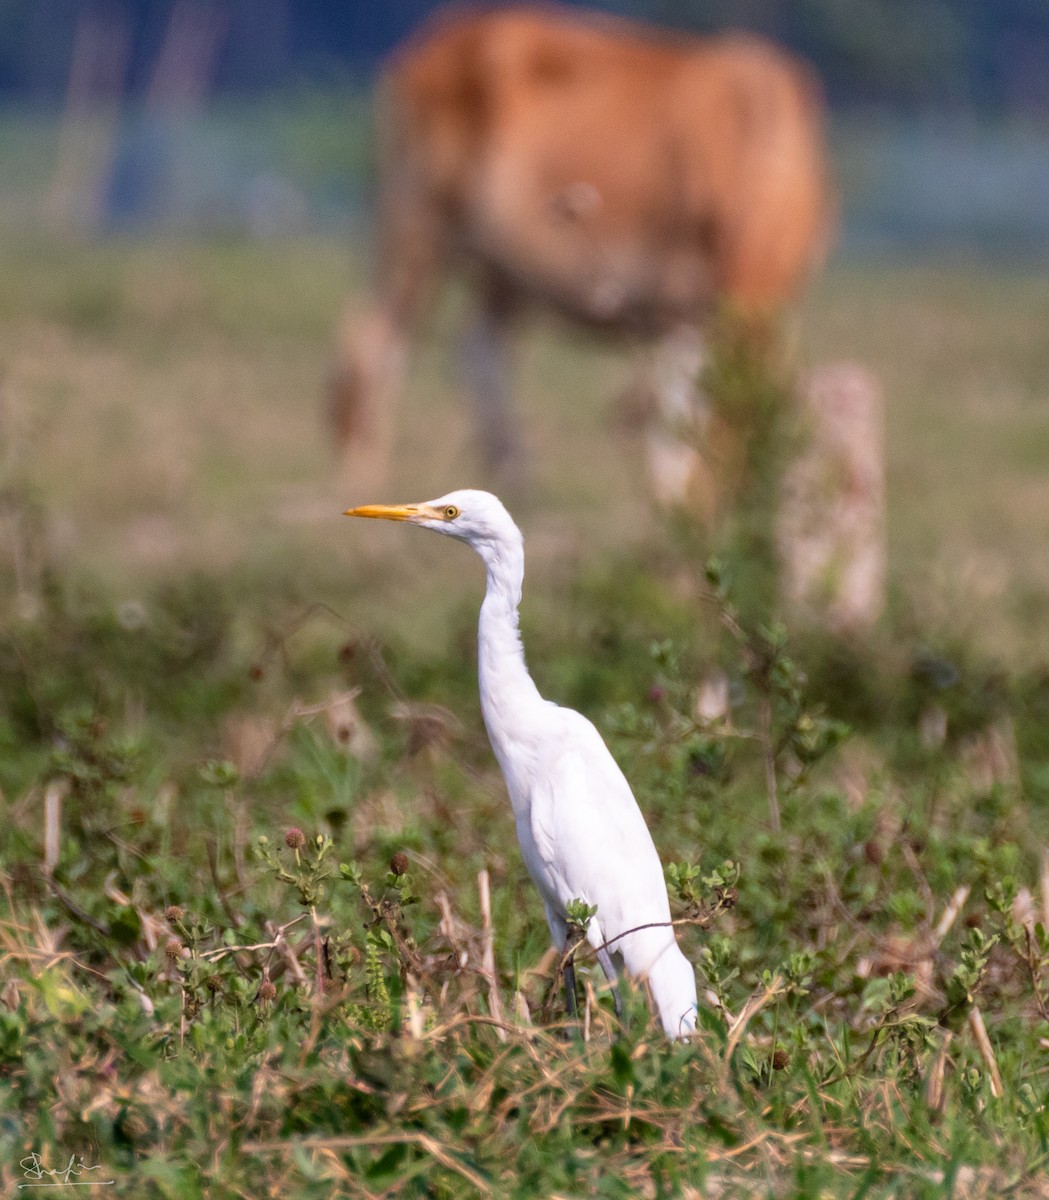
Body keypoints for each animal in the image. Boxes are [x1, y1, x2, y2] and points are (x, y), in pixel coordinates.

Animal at [330, 3, 833, 508]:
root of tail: (448, 32)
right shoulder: (687, 311)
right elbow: (670, 421)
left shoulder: (724, 313)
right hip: (415, 226)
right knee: (376, 342)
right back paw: (364, 483)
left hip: (504, 270)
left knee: (478, 349)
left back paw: (517, 478)